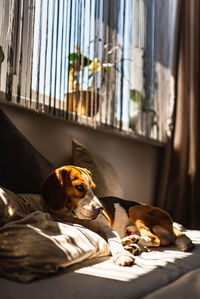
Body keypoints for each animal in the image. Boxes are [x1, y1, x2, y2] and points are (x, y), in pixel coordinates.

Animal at [40, 166, 194, 268]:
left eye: (94, 189)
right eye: (79, 187)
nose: (100, 209)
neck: (73, 217)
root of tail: (171, 224)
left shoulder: (108, 229)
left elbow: (113, 241)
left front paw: (122, 256)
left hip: (135, 208)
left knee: (154, 239)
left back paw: (133, 241)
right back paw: (132, 244)